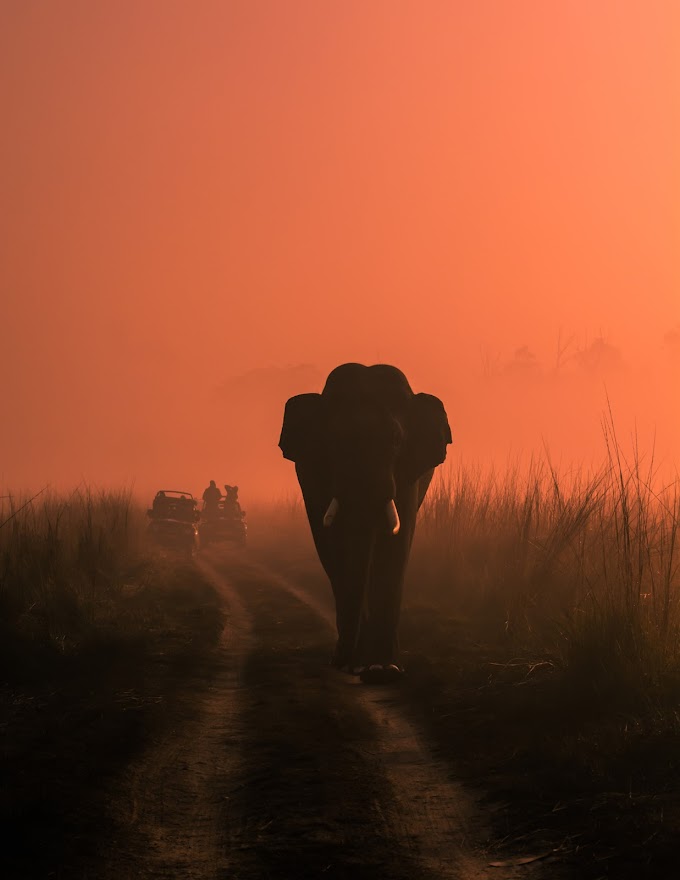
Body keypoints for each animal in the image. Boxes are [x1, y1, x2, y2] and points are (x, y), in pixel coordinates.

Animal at [278, 360, 452, 684]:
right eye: (333, 441)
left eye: (396, 441)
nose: (352, 666)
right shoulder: (317, 474)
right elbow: (335, 544)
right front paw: (353, 664)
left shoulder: (408, 471)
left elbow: (397, 543)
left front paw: (384, 669)